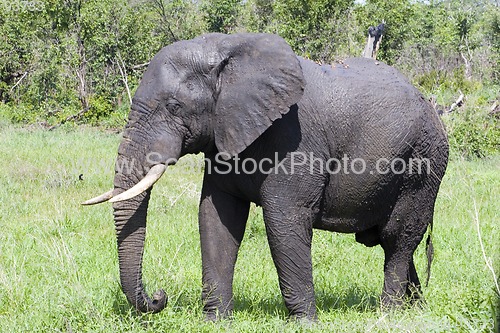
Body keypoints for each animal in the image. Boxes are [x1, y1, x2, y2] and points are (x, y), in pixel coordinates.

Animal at [83, 33, 450, 320]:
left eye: (174, 107)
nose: (160, 297)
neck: (227, 52)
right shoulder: (225, 134)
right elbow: (216, 216)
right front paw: (216, 321)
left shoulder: (295, 141)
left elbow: (283, 219)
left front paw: (305, 322)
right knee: (398, 245)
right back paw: (417, 311)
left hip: (423, 164)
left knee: (398, 239)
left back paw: (389, 315)